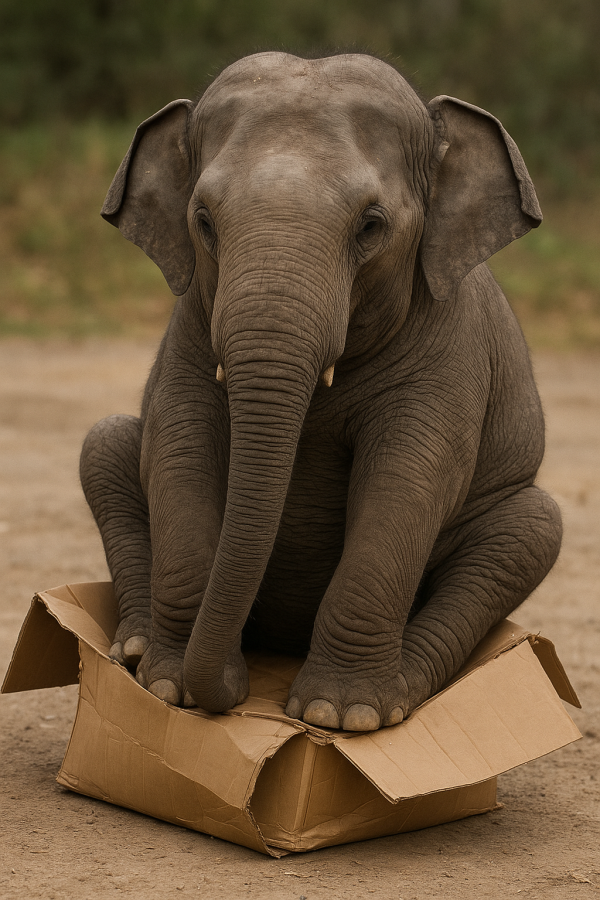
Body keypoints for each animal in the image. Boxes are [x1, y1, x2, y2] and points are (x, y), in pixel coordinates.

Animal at [80, 51, 562, 732]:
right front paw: (170, 689)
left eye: (371, 225)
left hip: (517, 519)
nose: (228, 694)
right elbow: (180, 447)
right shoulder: (189, 330)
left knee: (532, 527)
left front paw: (341, 716)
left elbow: (408, 477)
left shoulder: (449, 352)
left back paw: (407, 691)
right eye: (203, 221)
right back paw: (133, 650)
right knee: (106, 443)